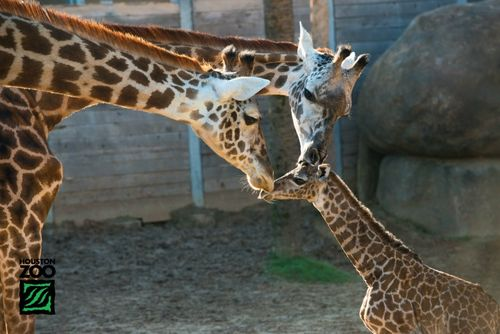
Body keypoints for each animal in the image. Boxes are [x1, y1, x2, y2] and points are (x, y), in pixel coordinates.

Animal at [260, 164, 498, 334]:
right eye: (291, 170)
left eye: (299, 179)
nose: (265, 190)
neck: (373, 270)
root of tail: (494, 314)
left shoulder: (397, 330)